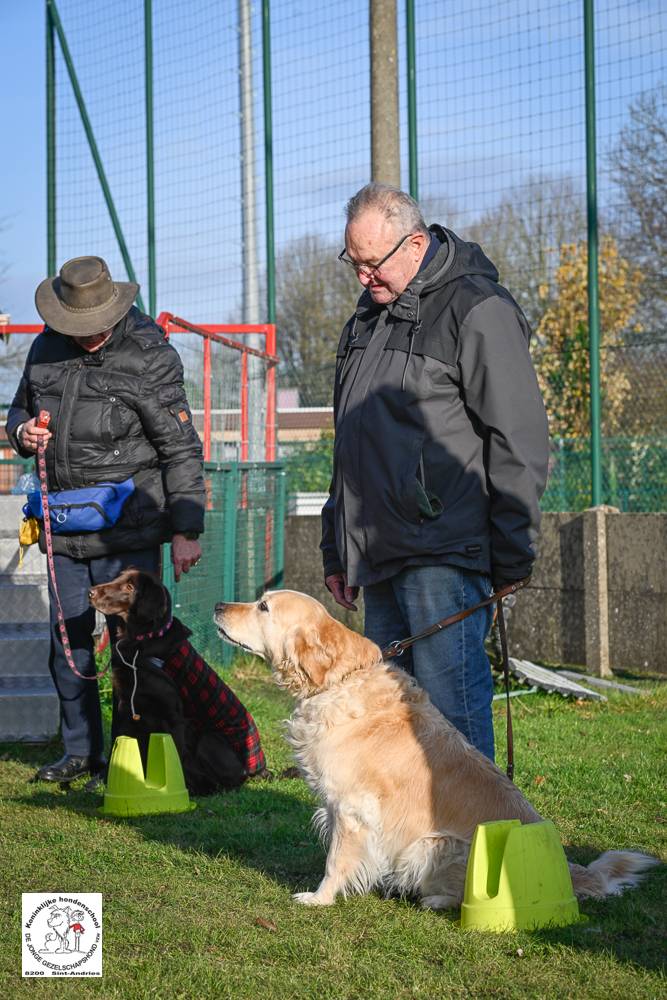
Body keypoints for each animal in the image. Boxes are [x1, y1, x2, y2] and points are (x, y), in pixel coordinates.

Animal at [88, 572, 266, 796]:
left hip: (208, 738)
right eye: (118, 578)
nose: (90, 592)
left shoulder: (174, 717)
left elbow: (178, 757)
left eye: (129, 587)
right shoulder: (128, 706)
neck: (143, 641)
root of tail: (259, 769)